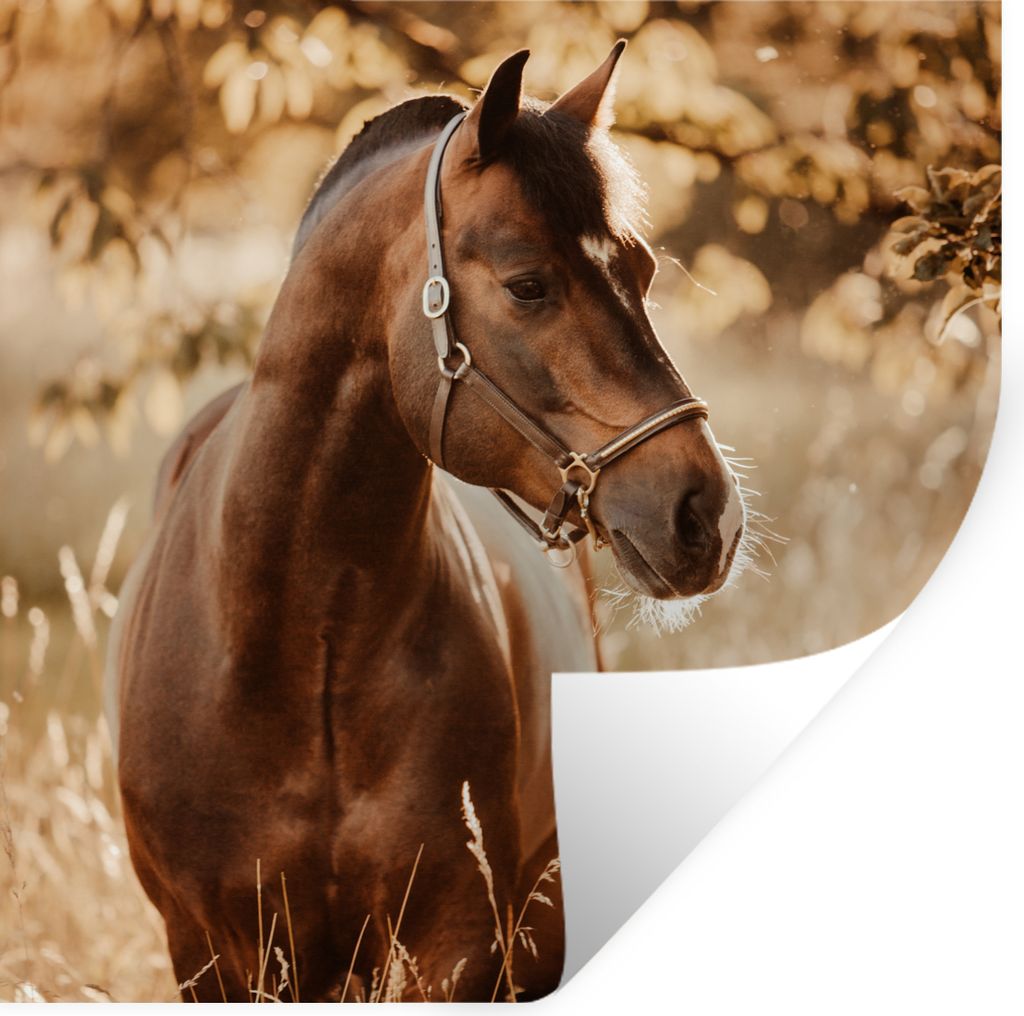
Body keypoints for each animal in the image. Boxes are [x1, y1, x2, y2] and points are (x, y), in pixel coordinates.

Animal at [107, 42, 745, 1002]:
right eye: (528, 285)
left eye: (641, 272)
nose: (708, 513)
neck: (295, 647)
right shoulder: (213, 952)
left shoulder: (457, 944)